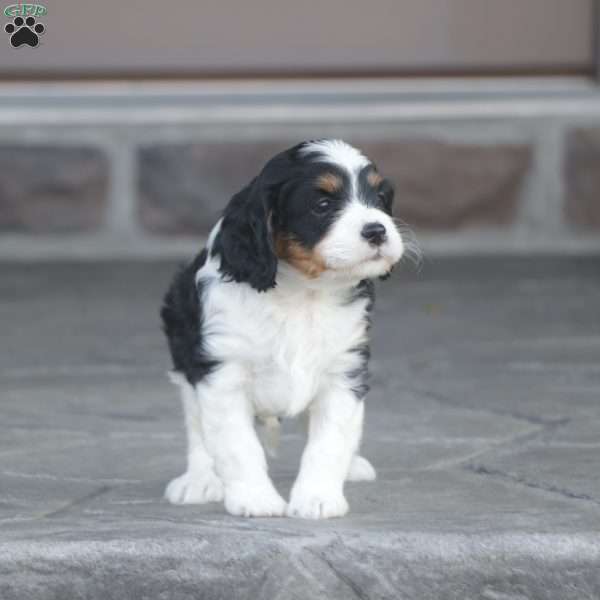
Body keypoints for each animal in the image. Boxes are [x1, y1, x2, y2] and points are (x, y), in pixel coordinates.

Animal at [162, 138, 406, 516]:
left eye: (380, 198)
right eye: (322, 205)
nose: (377, 230)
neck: (304, 293)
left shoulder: (344, 372)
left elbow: (329, 441)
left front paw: (318, 499)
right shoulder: (222, 373)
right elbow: (236, 444)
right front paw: (255, 500)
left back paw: (352, 465)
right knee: (198, 428)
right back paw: (200, 480)